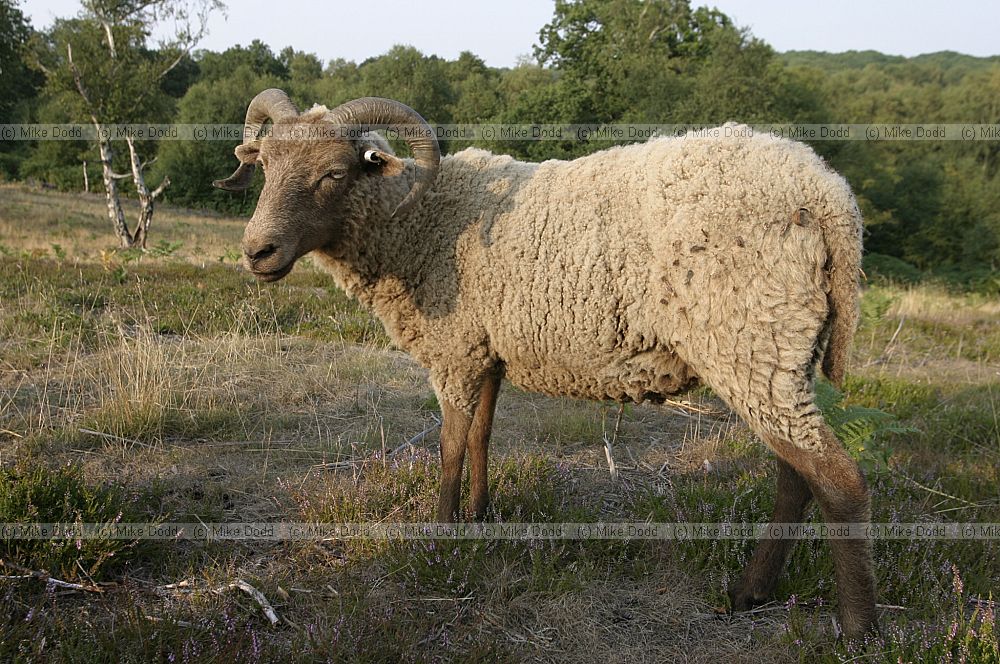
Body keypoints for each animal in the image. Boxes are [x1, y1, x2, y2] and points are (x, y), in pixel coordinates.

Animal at [214, 89, 877, 639]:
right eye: (264, 166)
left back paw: (858, 627)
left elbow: (449, 447)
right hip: (776, 352)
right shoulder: (486, 351)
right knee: (797, 475)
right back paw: (751, 594)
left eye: (333, 173)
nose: (257, 252)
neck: (413, 218)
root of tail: (827, 194)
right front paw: (480, 518)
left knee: (837, 480)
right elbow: (481, 437)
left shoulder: (455, 350)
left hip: (751, 339)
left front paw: (440, 537)